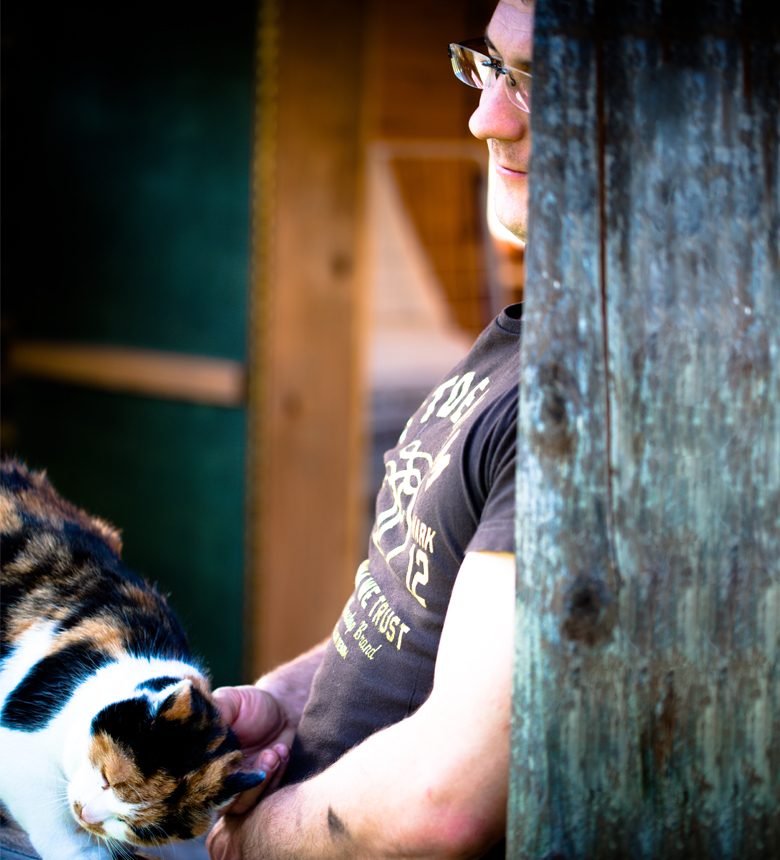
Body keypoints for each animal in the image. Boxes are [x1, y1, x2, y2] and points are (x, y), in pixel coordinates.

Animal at [0, 460, 262, 860]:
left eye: (138, 827)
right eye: (107, 779)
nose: (87, 814)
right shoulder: (18, 737)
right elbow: (51, 816)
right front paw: (83, 850)